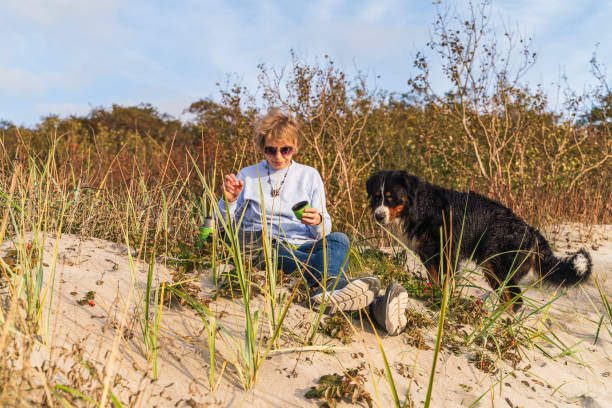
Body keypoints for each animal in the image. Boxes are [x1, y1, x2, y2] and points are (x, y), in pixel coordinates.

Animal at [366, 170, 592, 310]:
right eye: (377, 196)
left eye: (391, 197)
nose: (378, 216)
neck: (420, 207)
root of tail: (531, 231)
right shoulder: (429, 255)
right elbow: (435, 279)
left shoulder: (448, 253)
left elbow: (446, 282)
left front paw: (443, 302)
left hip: (498, 266)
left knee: (515, 300)